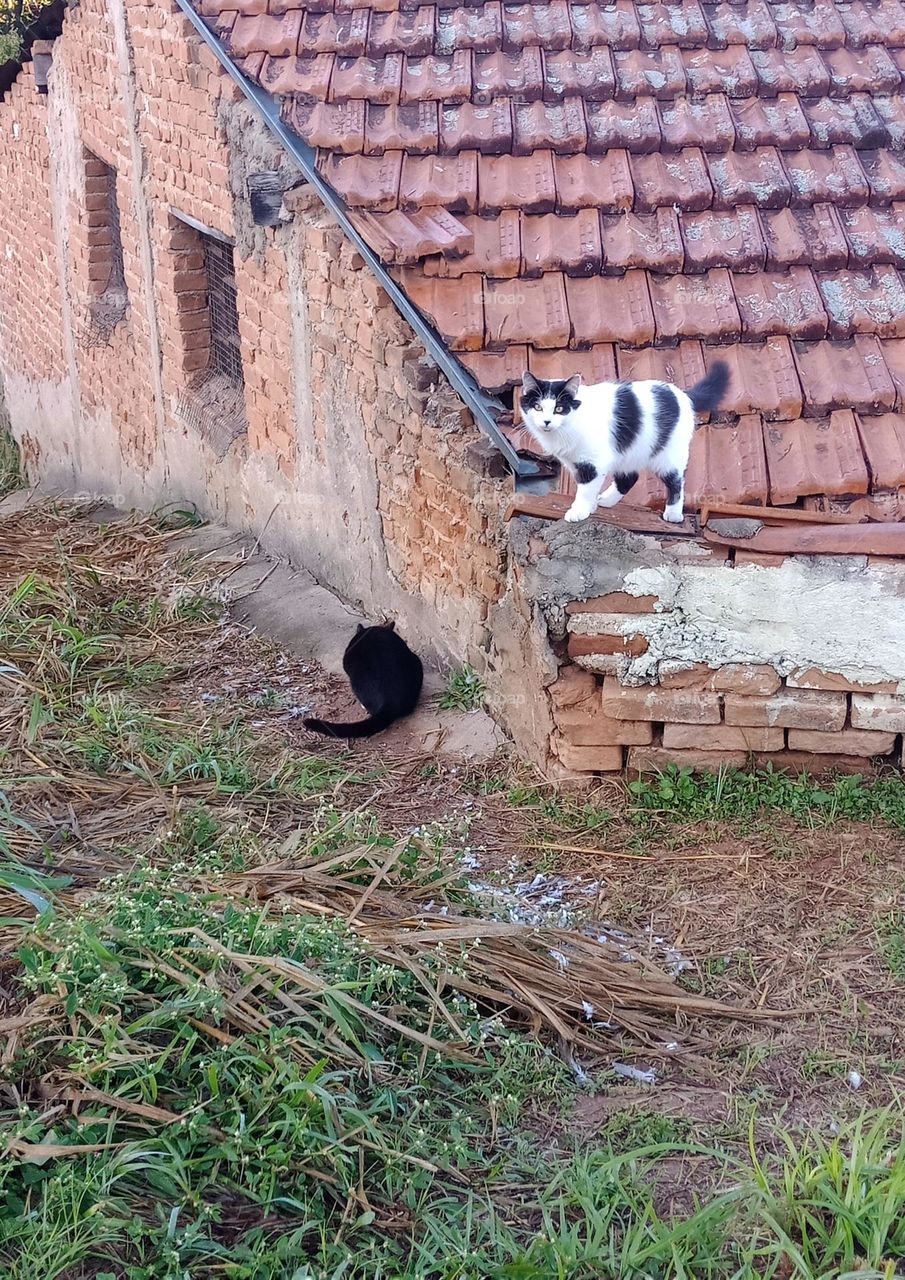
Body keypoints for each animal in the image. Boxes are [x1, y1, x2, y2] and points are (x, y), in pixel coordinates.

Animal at [519, 360, 732, 524]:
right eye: (537, 407)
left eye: (559, 408)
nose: (546, 421)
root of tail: (683, 395)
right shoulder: (576, 462)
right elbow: (589, 487)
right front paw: (590, 506)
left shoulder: (592, 463)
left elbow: (585, 489)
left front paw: (579, 511)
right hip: (629, 451)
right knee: (629, 478)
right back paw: (605, 500)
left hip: (668, 456)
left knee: (676, 482)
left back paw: (673, 514)